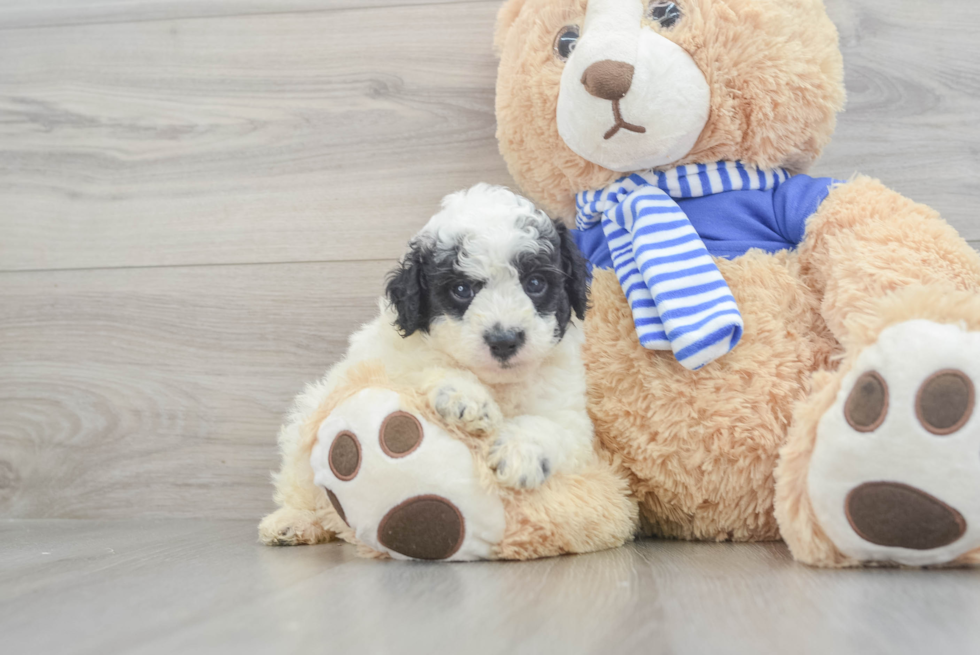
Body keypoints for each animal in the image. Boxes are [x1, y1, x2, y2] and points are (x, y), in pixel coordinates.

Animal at [260, 182, 592, 544]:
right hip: (306, 424)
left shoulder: (571, 416)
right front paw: (467, 399)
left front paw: (519, 452)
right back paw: (292, 521)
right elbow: (427, 366)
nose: (504, 340)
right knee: (301, 484)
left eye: (535, 283)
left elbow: (553, 427)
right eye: (461, 289)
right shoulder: (389, 361)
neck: (497, 382)